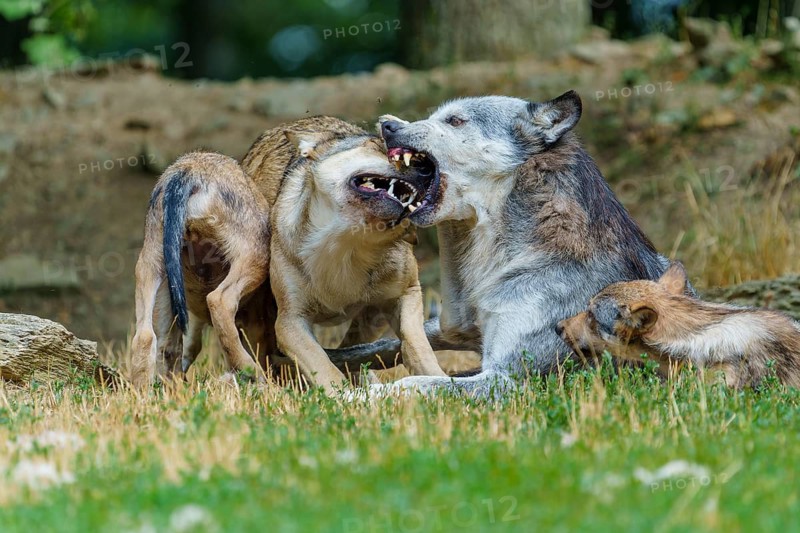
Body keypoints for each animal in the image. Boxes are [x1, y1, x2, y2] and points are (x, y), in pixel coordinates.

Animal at [130, 152, 276, 387]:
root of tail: (187, 171)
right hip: (256, 254)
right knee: (219, 301)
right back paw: (251, 371)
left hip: (151, 265)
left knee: (145, 337)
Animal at [242, 116, 446, 395]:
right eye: (378, 147)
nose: (429, 167)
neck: (348, 243)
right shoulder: (290, 321)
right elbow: (322, 364)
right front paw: (346, 395)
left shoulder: (407, 294)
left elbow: (417, 345)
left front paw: (439, 381)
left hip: (373, 318)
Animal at [329, 91, 688, 397]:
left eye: (455, 120)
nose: (387, 126)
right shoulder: (456, 329)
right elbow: (373, 347)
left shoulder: (508, 379)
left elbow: (414, 382)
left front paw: (349, 399)